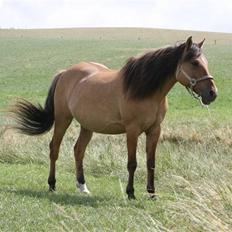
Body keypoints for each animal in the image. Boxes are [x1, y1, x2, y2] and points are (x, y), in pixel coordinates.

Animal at [10, 36, 218, 199]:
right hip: (63, 119)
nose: (212, 93)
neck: (145, 91)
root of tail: (64, 73)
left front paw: (152, 193)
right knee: (54, 148)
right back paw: (52, 184)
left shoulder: (154, 131)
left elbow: (151, 163)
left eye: (206, 62)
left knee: (78, 150)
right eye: (195, 63)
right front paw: (131, 192)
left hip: (87, 125)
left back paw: (82, 186)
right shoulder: (132, 131)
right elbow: (132, 163)